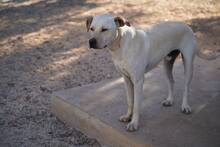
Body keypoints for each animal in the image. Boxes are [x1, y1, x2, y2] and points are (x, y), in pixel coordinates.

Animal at [86, 13, 220, 131]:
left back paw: (185, 106)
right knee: (171, 81)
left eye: (104, 29)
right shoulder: (126, 79)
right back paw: (169, 100)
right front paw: (128, 117)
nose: (91, 42)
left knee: (186, 86)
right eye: (92, 28)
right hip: (167, 64)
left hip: (188, 65)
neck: (121, 44)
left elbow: (136, 105)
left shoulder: (138, 81)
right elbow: (130, 101)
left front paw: (134, 123)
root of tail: (187, 26)